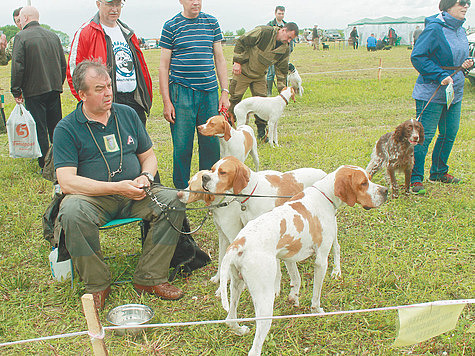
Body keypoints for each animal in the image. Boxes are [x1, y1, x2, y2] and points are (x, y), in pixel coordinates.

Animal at [214, 166, 388, 356]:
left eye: (369, 178)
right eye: (363, 183)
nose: (385, 191)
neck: (324, 194)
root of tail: (238, 243)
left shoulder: (288, 255)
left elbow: (295, 278)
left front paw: (293, 298)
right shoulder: (321, 261)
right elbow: (316, 295)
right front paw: (316, 310)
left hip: (237, 285)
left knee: (230, 319)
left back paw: (240, 330)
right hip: (264, 300)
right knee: (255, 347)